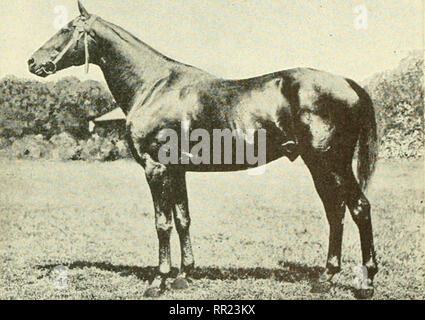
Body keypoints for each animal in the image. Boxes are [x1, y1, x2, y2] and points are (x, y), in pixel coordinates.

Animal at [29, 1, 378, 298]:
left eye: (67, 28)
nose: (33, 62)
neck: (153, 86)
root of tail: (347, 83)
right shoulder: (176, 170)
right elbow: (183, 219)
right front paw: (185, 275)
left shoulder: (156, 168)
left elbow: (162, 223)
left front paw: (159, 280)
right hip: (318, 165)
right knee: (336, 211)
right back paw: (326, 277)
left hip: (330, 162)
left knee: (359, 208)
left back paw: (365, 282)